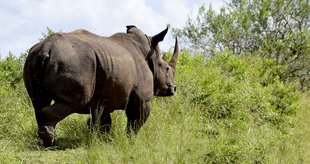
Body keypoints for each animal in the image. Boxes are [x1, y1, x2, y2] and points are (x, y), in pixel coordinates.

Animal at [23, 25, 179, 147]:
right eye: (166, 68)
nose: (174, 88)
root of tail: (46, 48)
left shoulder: (105, 94)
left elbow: (104, 121)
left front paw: (103, 141)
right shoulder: (142, 98)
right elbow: (136, 121)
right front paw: (131, 142)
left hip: (32, 58)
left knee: (38, 101)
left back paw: (45, 140)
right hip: (73, 62)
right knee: (74, 101)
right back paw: (50, 142)